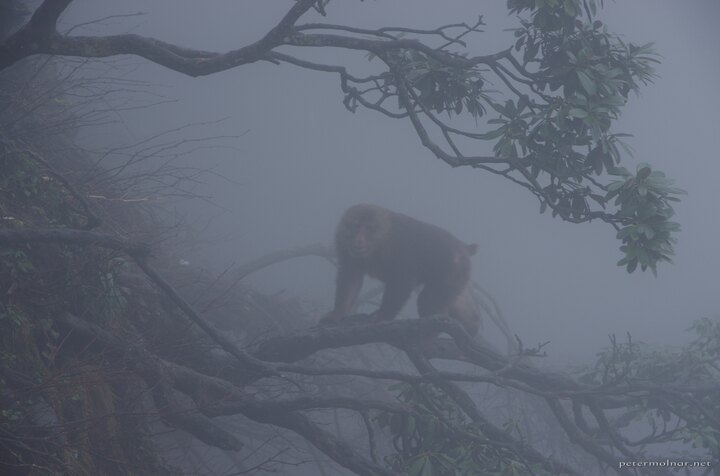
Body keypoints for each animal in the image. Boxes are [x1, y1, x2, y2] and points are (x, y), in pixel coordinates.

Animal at [322, 204, 480, 334]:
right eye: (355, 226)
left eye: (368, 228)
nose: (358, 240)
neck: (379, 243)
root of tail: (463, 246)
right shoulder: (346, 249)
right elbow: (350, 279)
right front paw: (338, 313)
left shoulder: (401, 251)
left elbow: (402, 283)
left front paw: (383, 316)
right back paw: (471, 324)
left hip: (452, 268)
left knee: (427, 300)